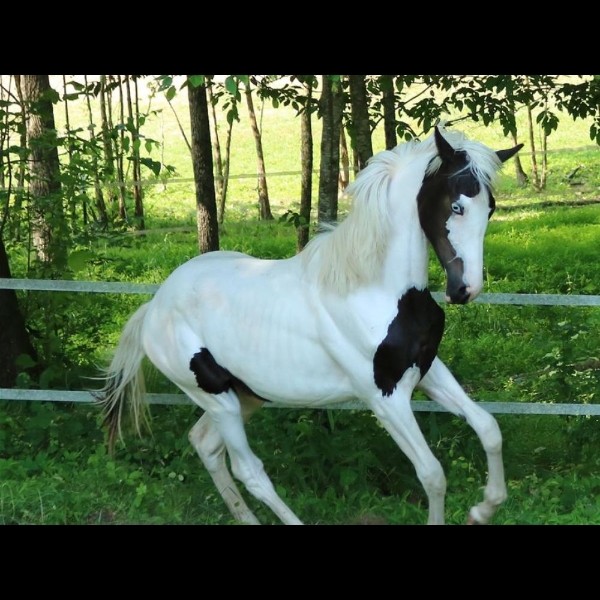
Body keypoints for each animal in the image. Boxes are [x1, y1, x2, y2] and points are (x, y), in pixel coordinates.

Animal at [96, 127, 524, 524]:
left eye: (490, 208)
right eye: (456, 206)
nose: (465, 290)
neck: (373, 289)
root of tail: (154, 307)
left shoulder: (427, 372)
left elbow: (489, 428)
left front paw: (484, 508)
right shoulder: (384, 398)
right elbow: (432, 473)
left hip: (245, 396)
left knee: (205, 444)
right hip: (217, 400)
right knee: (250, 472)